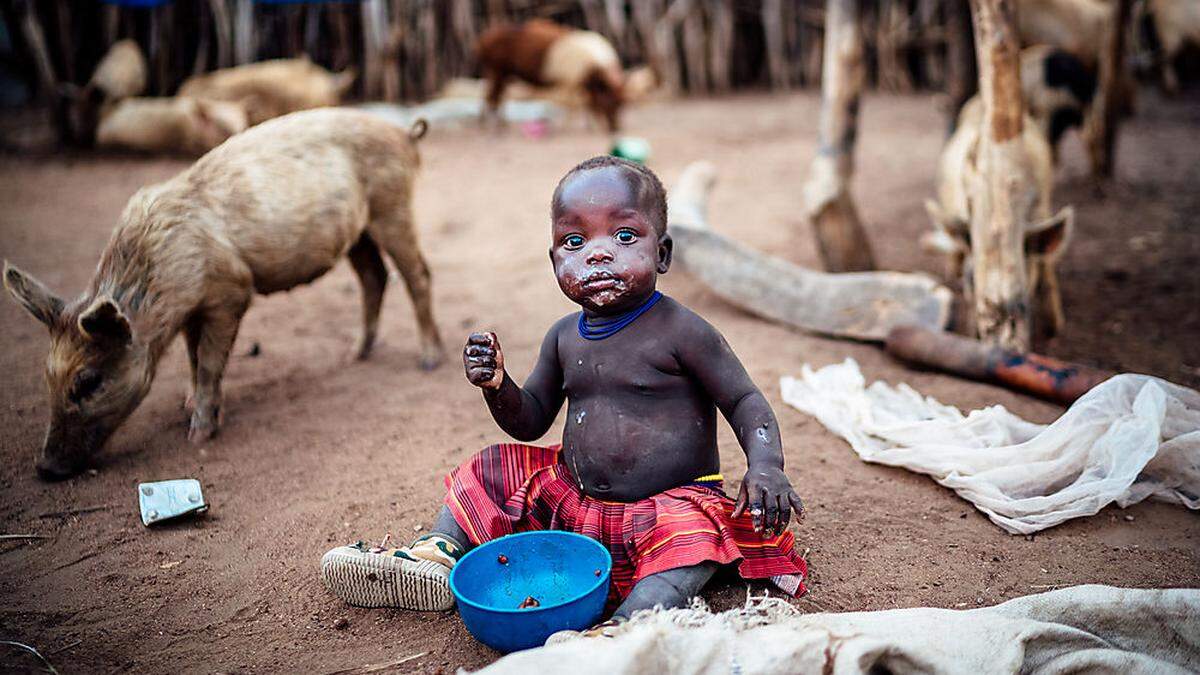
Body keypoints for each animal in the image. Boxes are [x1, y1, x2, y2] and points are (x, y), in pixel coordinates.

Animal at [2, 109, 444, 478]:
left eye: (89, 381)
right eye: (46, 377)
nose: (45, 469)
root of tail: (404, 132)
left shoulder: (230, 292)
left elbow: (211, 362)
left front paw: (197, 435)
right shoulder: (190, 311)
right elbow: (193, 359)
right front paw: (188, 406)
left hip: (392, 206)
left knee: (417, 274)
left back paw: (428, 360)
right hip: (359, 232)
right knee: (374, 277)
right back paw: (354, 354)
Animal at [472, 19, 624, 132]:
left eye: (621, 103)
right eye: (612, 102)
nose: (615, 128)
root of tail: (482, 41)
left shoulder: (582, 83)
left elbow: (587, 103)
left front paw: (589, 126)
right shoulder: (570, 81)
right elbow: (571, 103)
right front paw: (563, 126)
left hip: (500, 73)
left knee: (493, 95)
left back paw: (496, 124)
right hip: (496, 69)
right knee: (493, 96)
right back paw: (493, 126)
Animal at [921, 97, 1075, 338]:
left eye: (1022, 282)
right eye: (971, 280)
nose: (979, 335)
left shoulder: (1042, 207)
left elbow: (1046, 267)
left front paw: (1055, 329)